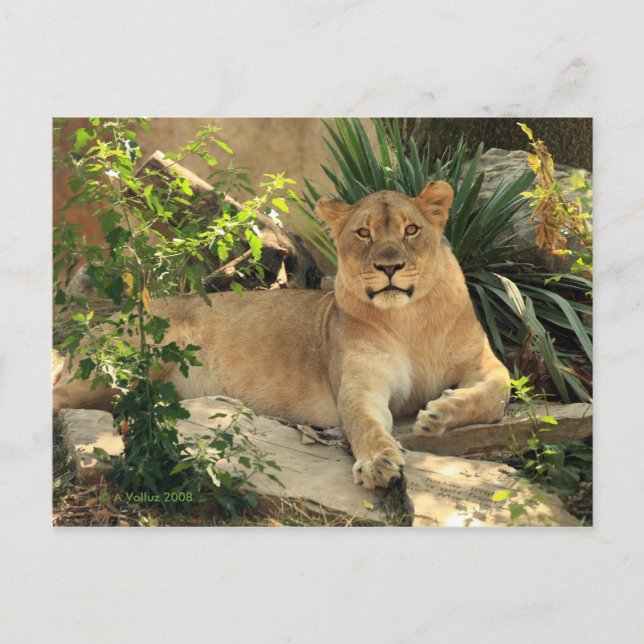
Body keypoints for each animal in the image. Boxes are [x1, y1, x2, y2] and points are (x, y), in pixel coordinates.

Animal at [53, 180, 510, 489]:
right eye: (363, 233)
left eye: (411, 230)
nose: (389, 267)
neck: (409, 319)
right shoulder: (359, 385)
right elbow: (365, 423)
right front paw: (379, 462)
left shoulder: (483, 361)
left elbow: (498, 392)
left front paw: (438, 414)